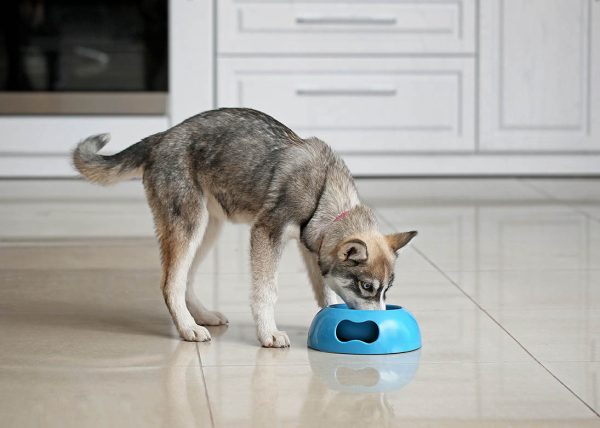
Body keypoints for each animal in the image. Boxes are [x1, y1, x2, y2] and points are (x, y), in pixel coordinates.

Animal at [71, 108, 418, 348]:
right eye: (367, 287)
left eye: (387, 290)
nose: (381, 325)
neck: (323, 190)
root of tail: (161, 136)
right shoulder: (266, 233)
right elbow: (267, 291)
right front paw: (268, 334)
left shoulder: (312, 249)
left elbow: (326, 291)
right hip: (190, 225)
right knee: (170, 283)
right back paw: (187, 328)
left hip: (208, 229)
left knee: (184, 279)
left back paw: (202, 316)